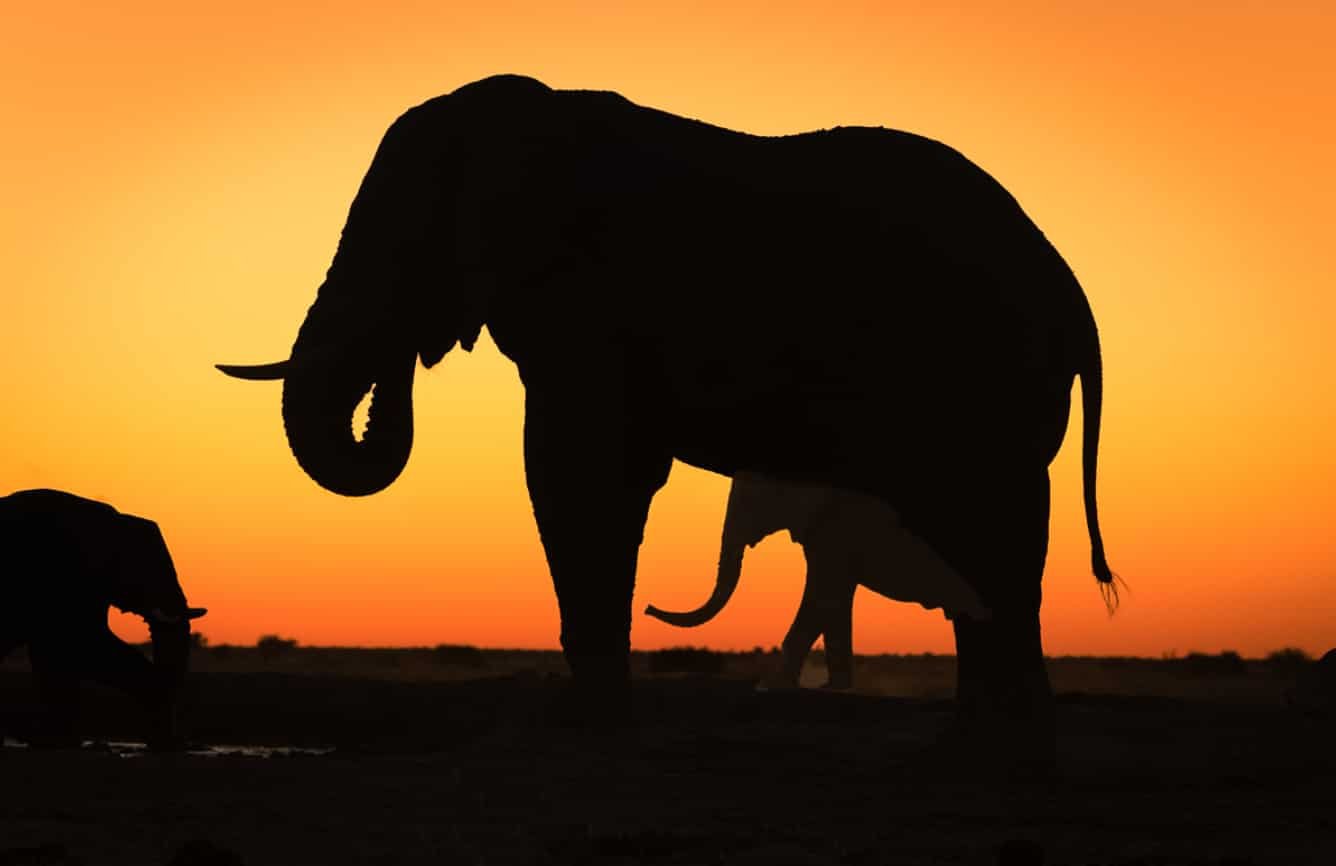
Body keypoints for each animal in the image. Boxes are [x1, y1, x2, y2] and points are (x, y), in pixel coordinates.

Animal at [0, 489, 206, 748]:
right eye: (147, 568)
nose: (178, 742)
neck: (113, 524)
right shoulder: (64, 577)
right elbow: (83, 647)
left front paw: (61, 742)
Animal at [645, 471, 991, 691]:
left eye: (752, 499)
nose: (647, 608)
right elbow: (835, 600)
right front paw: (833, 687)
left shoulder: (837, 528)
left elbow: (822, 595)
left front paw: (771, 687)